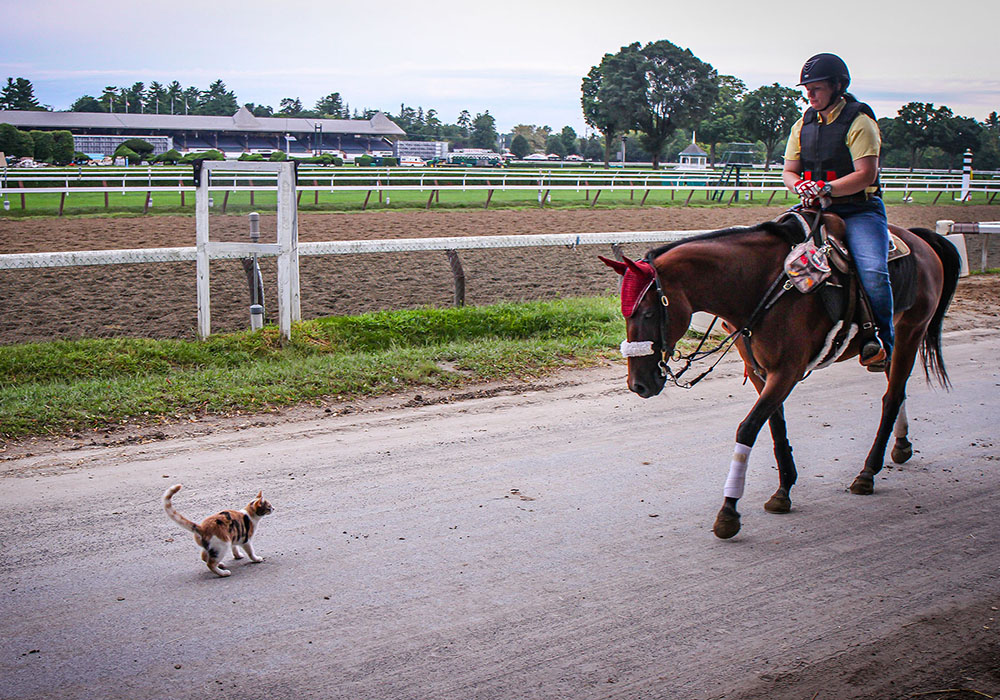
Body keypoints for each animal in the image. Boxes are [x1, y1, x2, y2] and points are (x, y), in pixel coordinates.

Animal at [600, 210, 962, 539]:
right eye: (624, 313)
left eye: (649, 313)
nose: (638, 384)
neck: (761, 285)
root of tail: (920, 239)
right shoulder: (759, 371)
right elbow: (775, 426)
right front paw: (784, 489)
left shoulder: (787, 371)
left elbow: (748, 428)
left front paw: (729, 510)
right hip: (896, 343)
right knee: (896, 389)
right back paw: (901, 445)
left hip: (911, 332)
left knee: (892, 397)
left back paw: (867, 472)